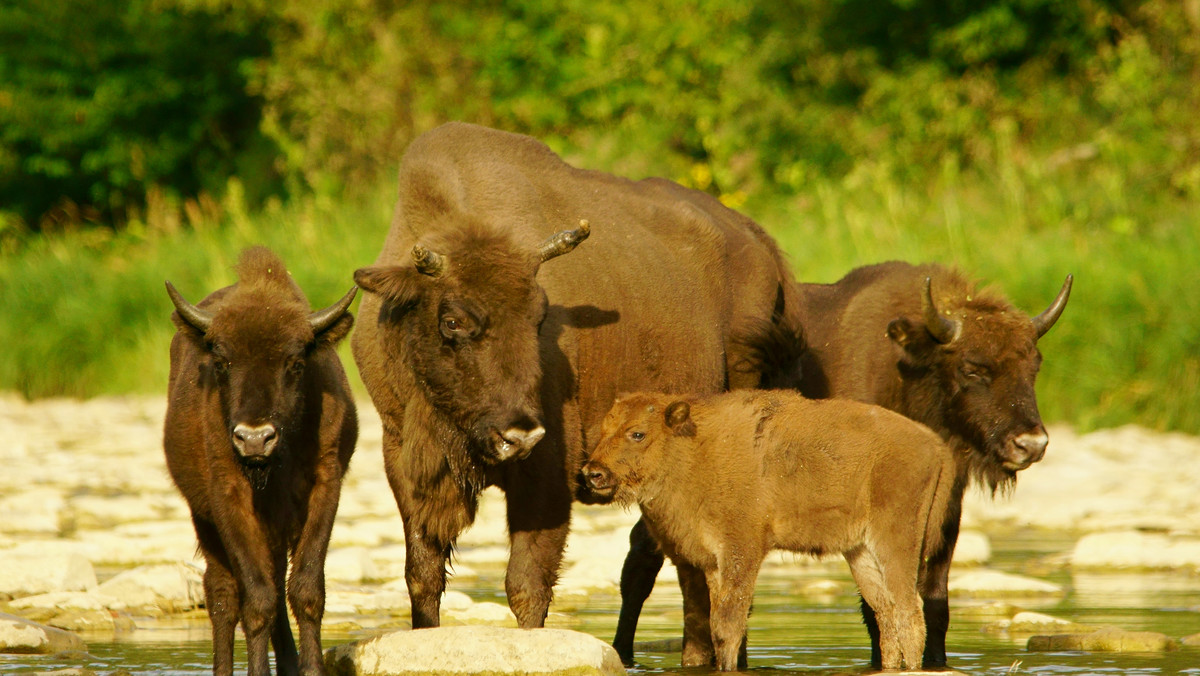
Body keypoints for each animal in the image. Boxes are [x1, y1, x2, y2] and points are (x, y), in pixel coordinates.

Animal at [166, 248, 357, 676]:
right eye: (222, 362)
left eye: (295, 362)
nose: (254, 438)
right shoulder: (227, 498)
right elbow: (256, 598)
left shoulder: (324, 487)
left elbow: (305, 589)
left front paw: (310, 668)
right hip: (203, 519)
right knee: (222, 594)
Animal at [350, 123, 796, 633]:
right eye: (452, 321)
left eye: (539, 317)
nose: (519, 434)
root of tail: (761, 243)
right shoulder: (402, 460)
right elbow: (422, 575)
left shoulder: (548, 469)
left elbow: (528, 582)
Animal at [580, 391, 955, 672]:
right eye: (604, 429)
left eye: (637, 433)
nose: (593, 473)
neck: (695, 448)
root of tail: (936, 446)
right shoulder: (713, 564)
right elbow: (718, 625)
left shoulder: (741, 552)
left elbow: (729, 625)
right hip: (860, 552)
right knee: (885, 613)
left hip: (896, 540)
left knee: (908, 614)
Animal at [614, 261, 1075, 667]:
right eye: (973, 367)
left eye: (1034, 364)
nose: (1031, 443)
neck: (904, 368)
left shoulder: (945, 515)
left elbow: (935, 601)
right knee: (644, 562)